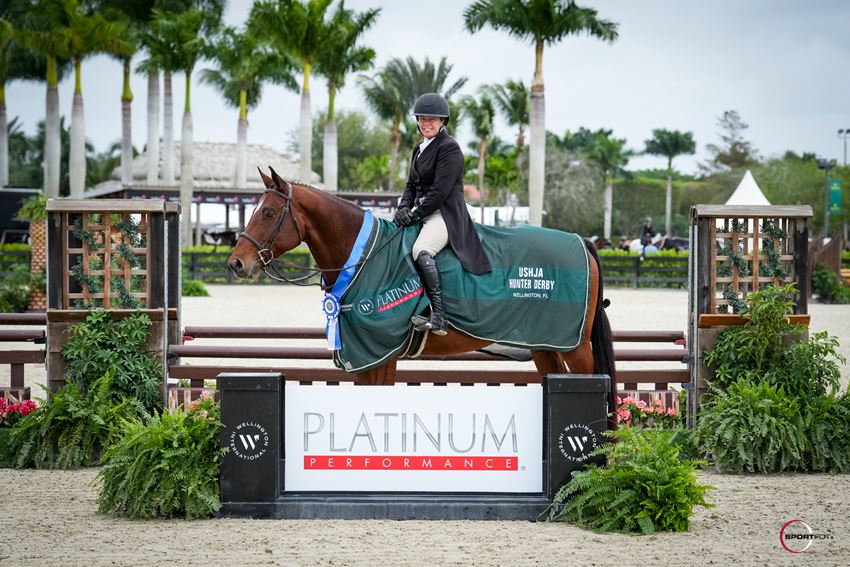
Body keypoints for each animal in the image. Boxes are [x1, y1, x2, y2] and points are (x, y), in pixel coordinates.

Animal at [227, 169, 616, 422]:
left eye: (269, 212)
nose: (236, 263)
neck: (365, 256)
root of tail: (582, 241)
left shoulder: (381, 354)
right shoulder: (365, 357)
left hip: (576, 348)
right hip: (545, 346)